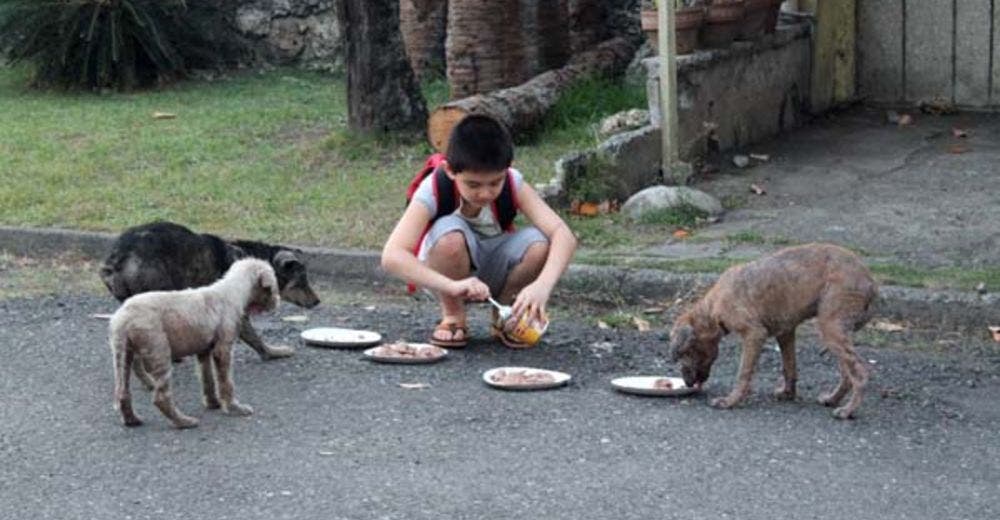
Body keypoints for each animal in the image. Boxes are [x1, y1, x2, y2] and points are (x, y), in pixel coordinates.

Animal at [99, 221, 318, 360]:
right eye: (302, 281)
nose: (317, 301)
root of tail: (119, 259)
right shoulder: (235, 311)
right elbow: (254, 337)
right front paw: (272, 352)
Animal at [109, 258, 280, 428]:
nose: (277, 303)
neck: (233, 291)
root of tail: (123, 317)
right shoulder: (223, 349)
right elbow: (226, 381)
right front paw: (234, 407)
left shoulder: (204, 350)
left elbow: (207, 378)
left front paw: (213, 403)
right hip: (158, 351)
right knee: (160, 397)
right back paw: (183, 421)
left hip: (124, 354)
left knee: (122, 392)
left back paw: (131, 420)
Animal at [672, 244, 876, 418]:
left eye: (684, 353)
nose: (687, 383)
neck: (712, 309)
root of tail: (870, 280)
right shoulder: (785, 333)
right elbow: (789, 367)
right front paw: (788, 393)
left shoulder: (754, 334)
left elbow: (743, 373)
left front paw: (731, 401)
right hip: (836, 333)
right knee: (847, 374)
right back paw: (833, 399)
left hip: (831, 327)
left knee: (860, 374)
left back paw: (848, 411)